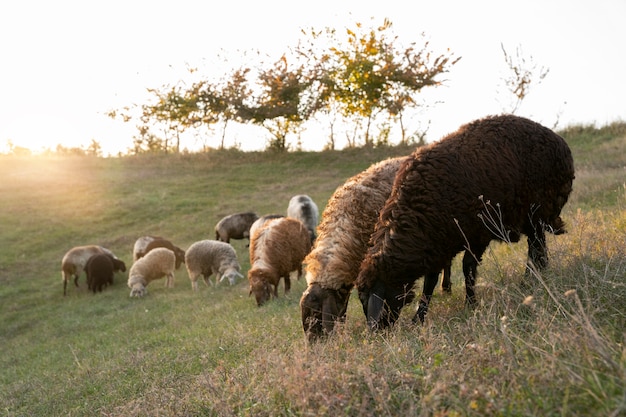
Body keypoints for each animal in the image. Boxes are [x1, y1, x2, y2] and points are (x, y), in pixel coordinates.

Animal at [354, 114, 572, 328]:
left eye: (368, 299)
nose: (376, 331)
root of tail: (558, 139)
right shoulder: (437, 245)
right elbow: (430, 281)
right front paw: (419, 318)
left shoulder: (477, 234)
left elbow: (467, 268)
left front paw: (470, 304)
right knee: (538, 247)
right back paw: (539, 276)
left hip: (537, 211)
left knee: (535, 247)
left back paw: (529, 281)